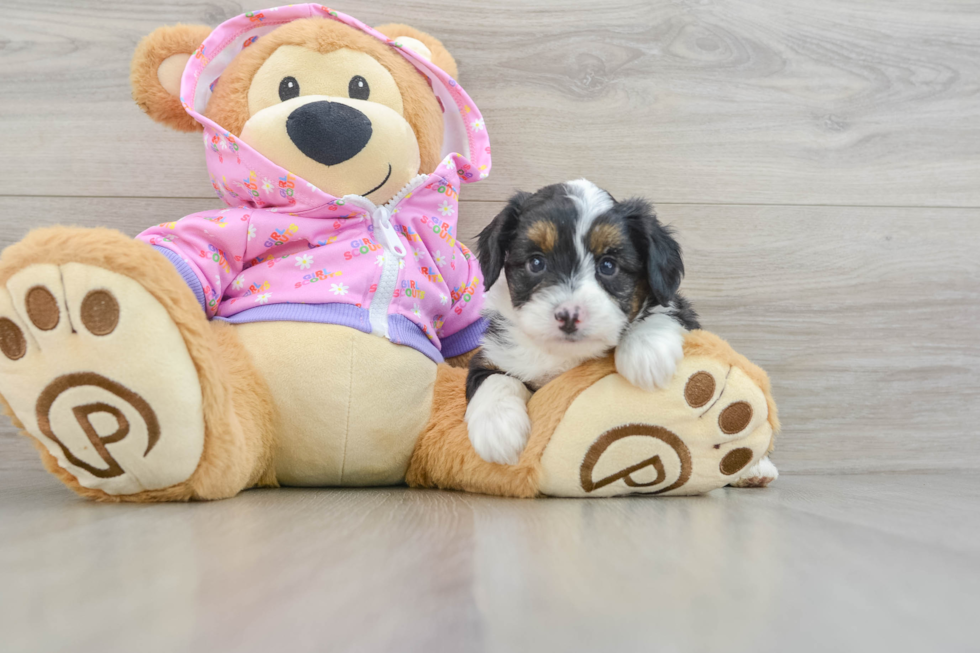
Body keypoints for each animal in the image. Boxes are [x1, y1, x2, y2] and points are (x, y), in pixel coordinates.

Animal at [466, 178, 700, 464]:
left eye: (608, 265)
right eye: (536, 262)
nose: (569, 315)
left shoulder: (681, 310)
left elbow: (664, 309)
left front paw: (646, 353)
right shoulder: (490, 355)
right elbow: (495, 379)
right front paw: (497, 428)